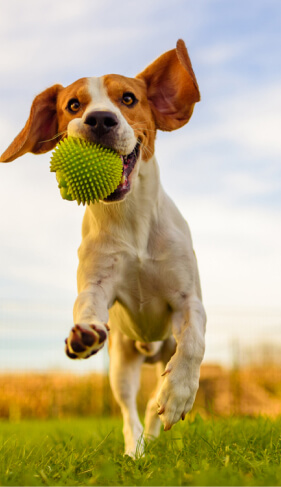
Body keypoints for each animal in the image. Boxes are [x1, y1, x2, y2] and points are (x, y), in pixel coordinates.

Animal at [0, 40, 206, 460]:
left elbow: (194, 342)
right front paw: (83, 334)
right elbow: (86, 305)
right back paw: (135, 450)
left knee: (154, 395)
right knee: (130, 410)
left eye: (128, 98)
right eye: (73, 105)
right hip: (121, 364)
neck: (130, 220)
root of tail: (149, 348)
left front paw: (178, 394)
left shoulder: (189, 300)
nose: (98, 119)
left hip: (163, 347)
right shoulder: (96, 283)